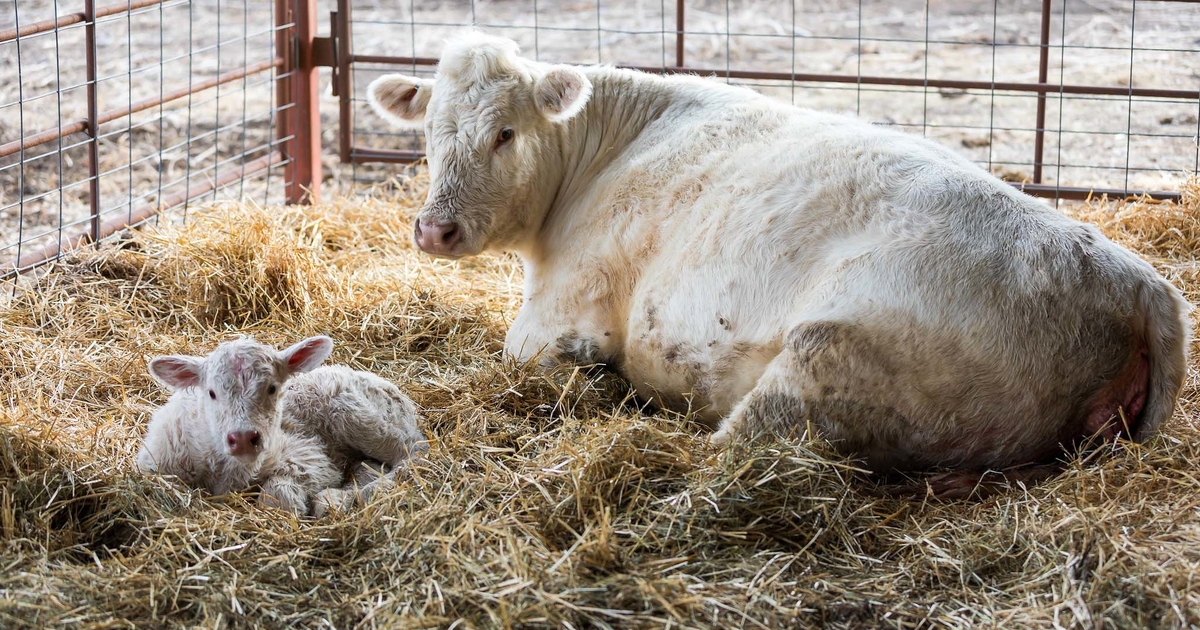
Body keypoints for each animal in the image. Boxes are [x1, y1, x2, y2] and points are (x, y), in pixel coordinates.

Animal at [137, 333, 427, 516]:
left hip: (360, 417)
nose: (244, 438)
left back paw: (336, 499)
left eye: (272, 388)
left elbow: (278, 496)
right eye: (211, 393)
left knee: (413, 456)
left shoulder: (311, 456)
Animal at [364, 31, 1190, 487]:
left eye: (504, 132)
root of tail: (1136, 280)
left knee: (728, 452)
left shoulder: (557, 315)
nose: (433, 230)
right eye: (428, 130)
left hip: (823, 360)